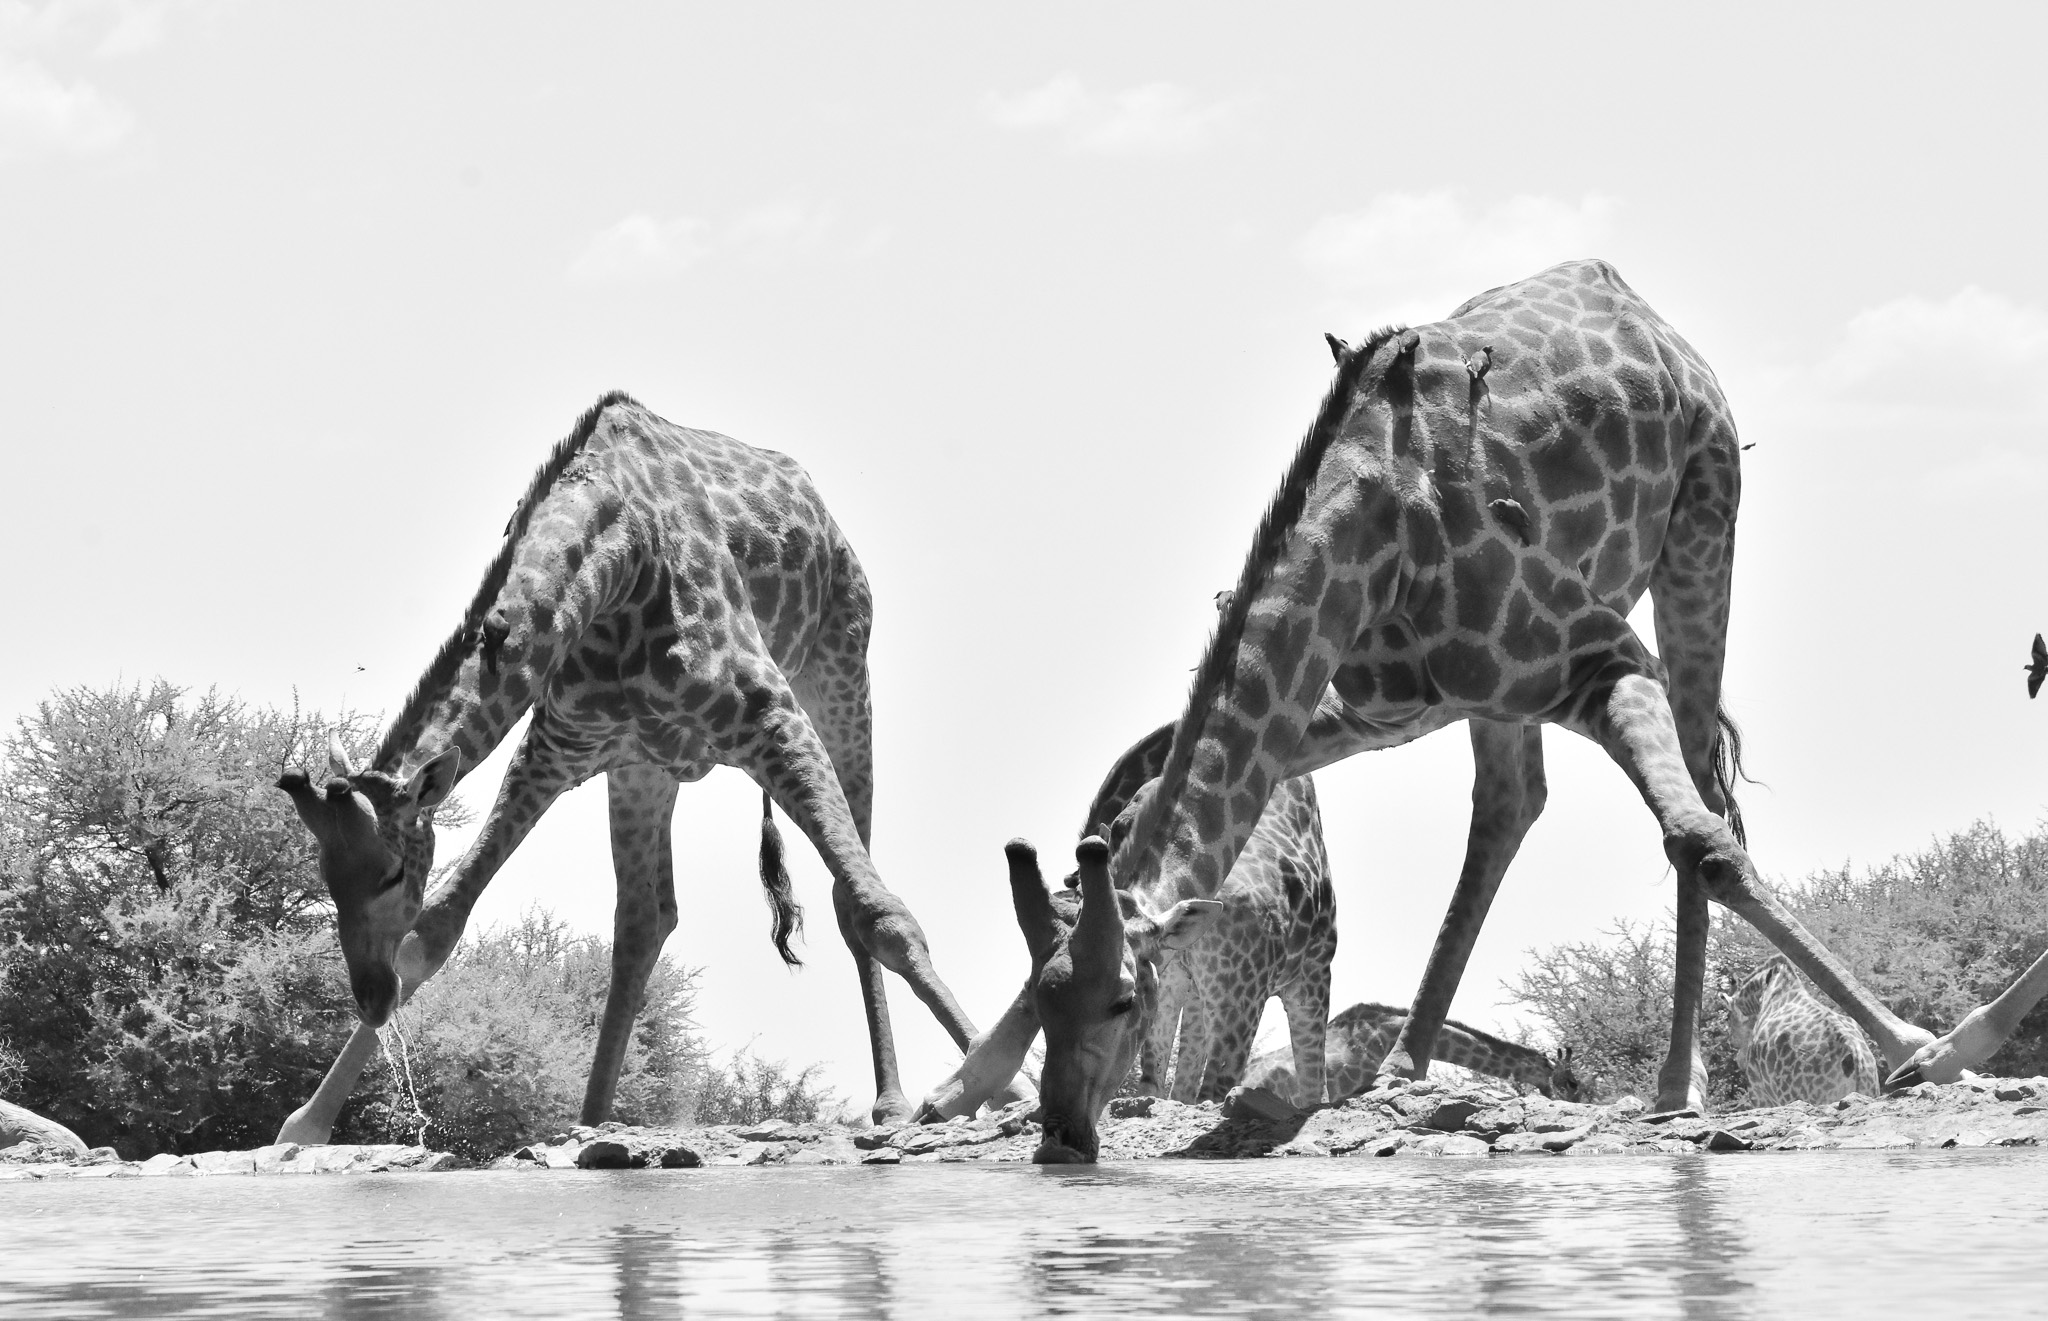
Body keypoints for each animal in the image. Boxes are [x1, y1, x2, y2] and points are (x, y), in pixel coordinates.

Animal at [273, 391, 977, 1141]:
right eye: (327, 880)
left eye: (389, 874)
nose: (371, 995)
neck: (617, 566)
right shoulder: (559, 747)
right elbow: (435, 929)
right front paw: (304, 1127)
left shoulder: (771, 715)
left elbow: (879, 908)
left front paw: (991, 1081)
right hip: (647, 769)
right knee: (645, 919)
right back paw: (592, 1122)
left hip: (842, 677)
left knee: (850, 892)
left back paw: (894, 1101)